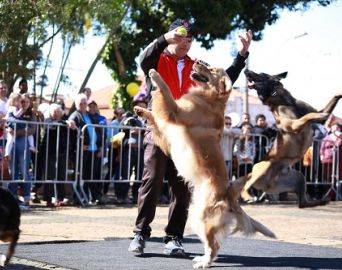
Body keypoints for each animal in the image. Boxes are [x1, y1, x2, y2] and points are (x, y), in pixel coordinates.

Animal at [238, 68, 342, 208]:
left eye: (262, 73)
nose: (245, 70)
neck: (286, 102)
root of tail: (269, 185)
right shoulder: (294, 124)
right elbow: (309, 115)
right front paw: (322, 115)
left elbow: (324, 105)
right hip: (264, 167)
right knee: (245, 186)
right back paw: (247, 196)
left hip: (298, 176)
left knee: (302, 203)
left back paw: (321, 201)